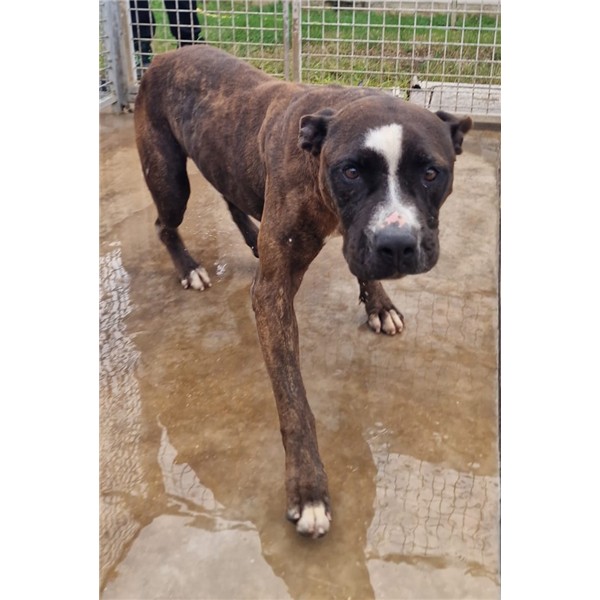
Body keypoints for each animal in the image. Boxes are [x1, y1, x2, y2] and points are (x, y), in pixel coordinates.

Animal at [134, 44, 472, 538]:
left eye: (432, 173)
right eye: (350, 171)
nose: (396, 245)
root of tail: (163, 57)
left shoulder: (354, 238)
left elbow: (362, 265)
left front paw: (379, 304)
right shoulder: (273, 293)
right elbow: (294, 402)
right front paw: (308, 488)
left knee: (231, 197)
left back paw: (251, 238)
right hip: (169, 180)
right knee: (164, 223)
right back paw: (190, 267)